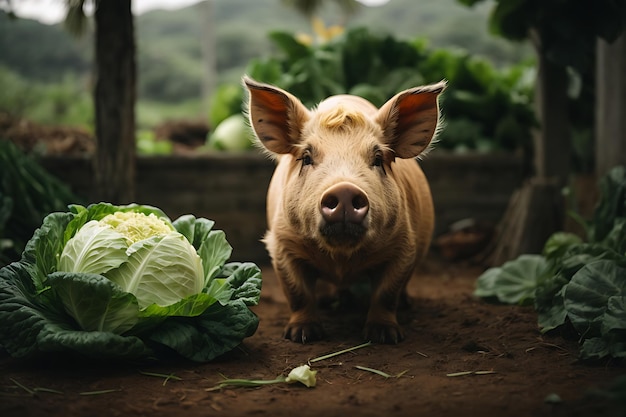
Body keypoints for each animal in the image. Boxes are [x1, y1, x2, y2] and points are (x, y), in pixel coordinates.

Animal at [240, 76, 444, 342]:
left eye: (378, 159)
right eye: (306, 157)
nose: (344, 189)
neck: (342, 260)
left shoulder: (404, 244)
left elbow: (386, 293)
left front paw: (384, 336)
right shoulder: (281, 243)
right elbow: (298, 292)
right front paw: (301, 335)